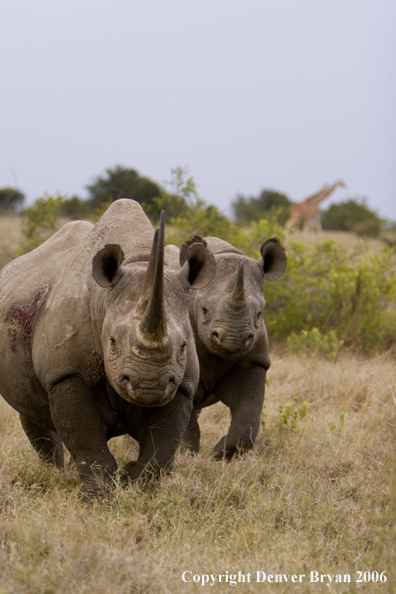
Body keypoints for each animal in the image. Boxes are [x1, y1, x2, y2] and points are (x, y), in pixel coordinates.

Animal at [0, 200, 215, 494]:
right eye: (112, 342)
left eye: (184, 346)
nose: (149, 385)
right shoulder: (66, 374)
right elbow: (88, 444)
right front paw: (98, 497)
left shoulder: (182, 384)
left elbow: (161, 449)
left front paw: (138, 487)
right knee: (31, 411)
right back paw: (55, 473)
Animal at [163, 236, 284, 458]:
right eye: (204, 310)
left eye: (259, 314)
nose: (232, 339)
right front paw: (187, 453)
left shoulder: (254, 359)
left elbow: (248, 420)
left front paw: (218, 454)